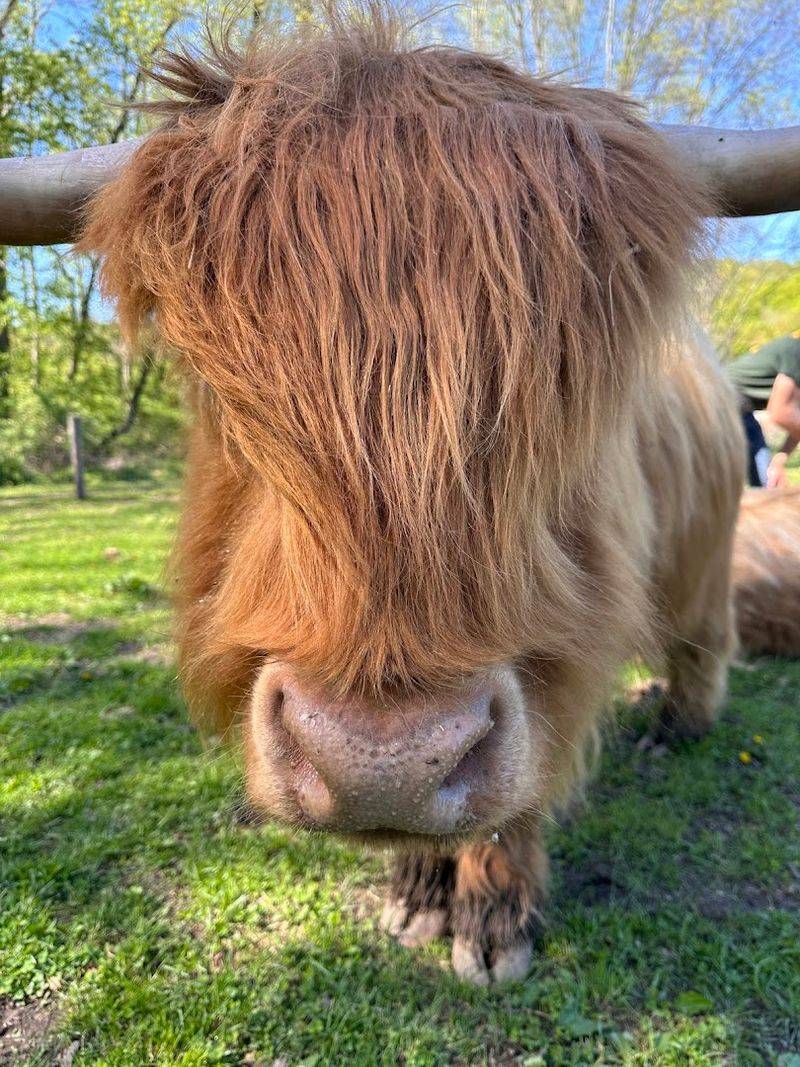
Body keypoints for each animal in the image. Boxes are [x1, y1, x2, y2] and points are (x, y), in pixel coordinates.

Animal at [2, 12, 800, 985]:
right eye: (216, 389)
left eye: (569, 390)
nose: (383, 762)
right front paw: (419, 895)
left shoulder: (559, 650)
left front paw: (491, 921)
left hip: (704, 549)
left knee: (701, 633)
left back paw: (677, 721)